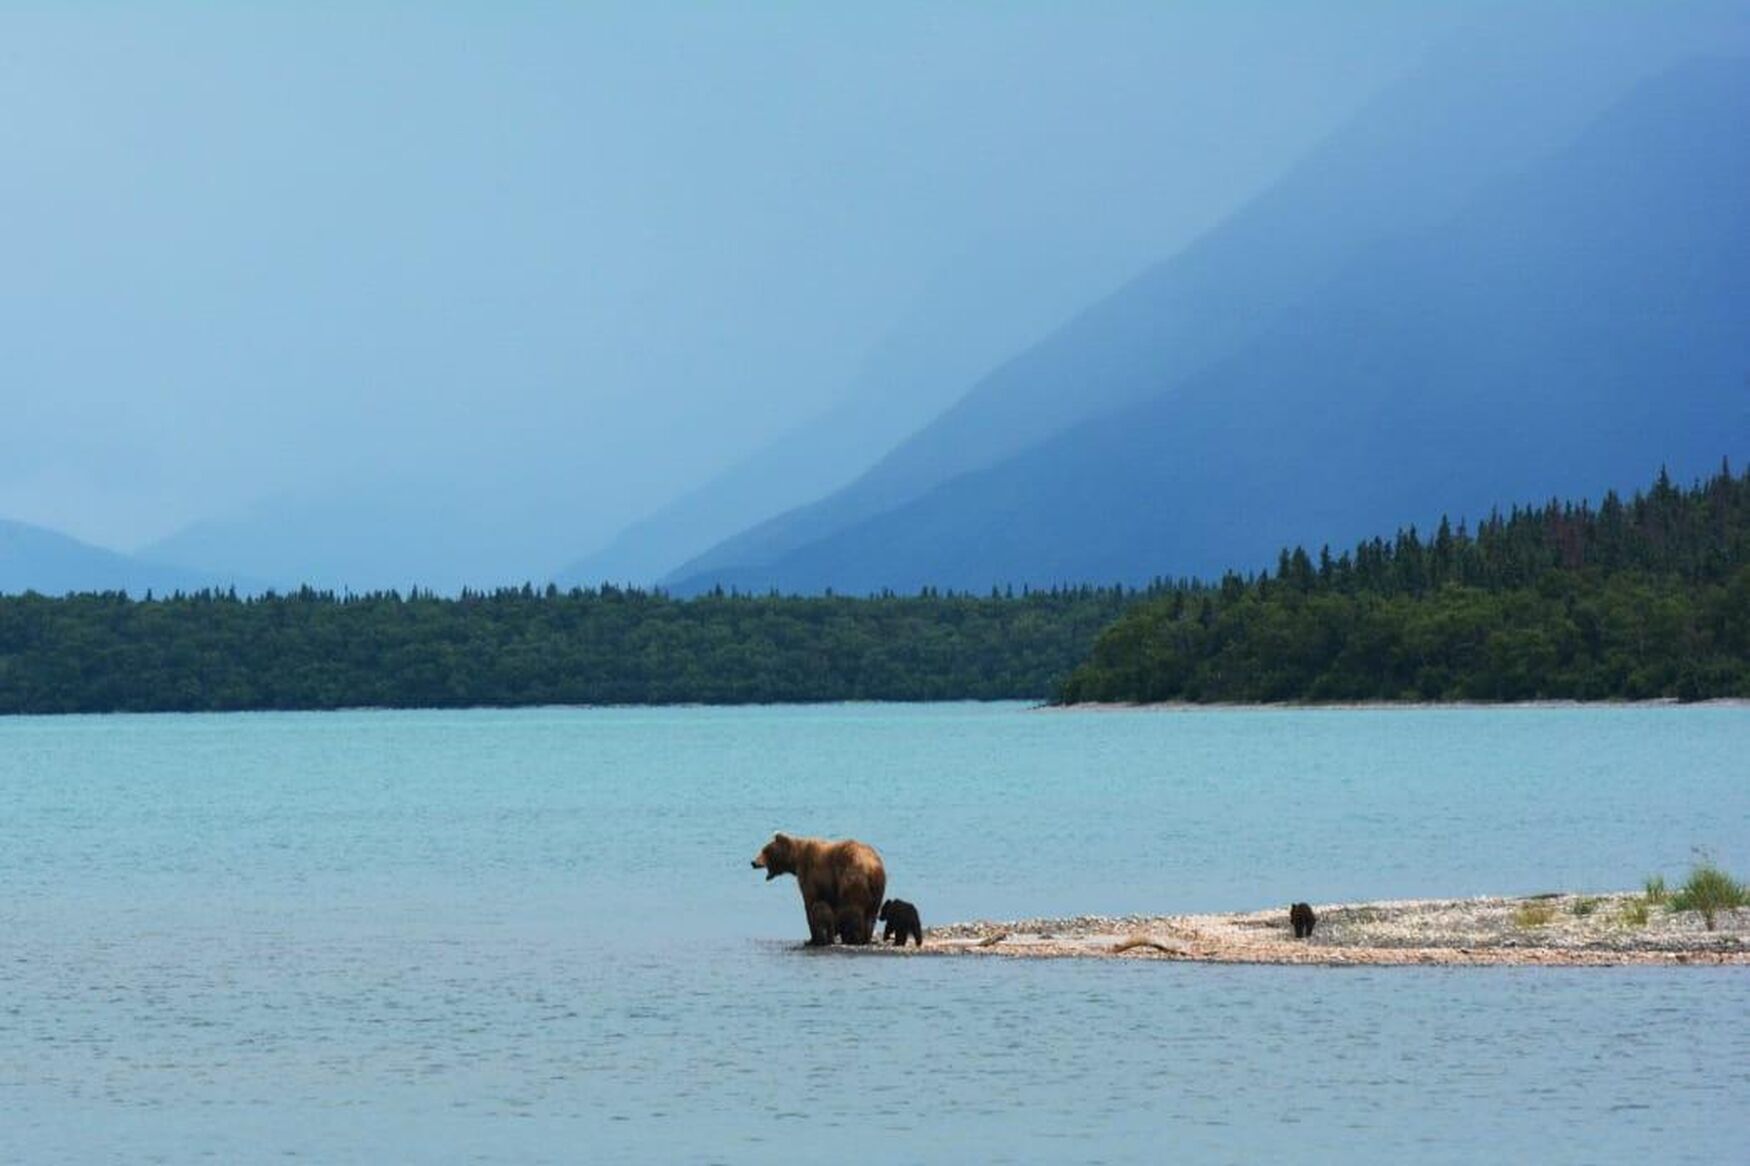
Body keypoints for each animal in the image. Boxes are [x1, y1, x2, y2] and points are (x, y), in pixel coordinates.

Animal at [752, 826, 889, 945]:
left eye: (765, 850)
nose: (753, 862)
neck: (796, 860)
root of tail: (873, 869)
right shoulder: (829, 887)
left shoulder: (811, 874)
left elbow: (810, 903)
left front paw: (812, 939)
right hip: (878, 889)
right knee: (871, 915)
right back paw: (865, 938)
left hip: (852, 877)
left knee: (853, 908)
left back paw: (853, 939)